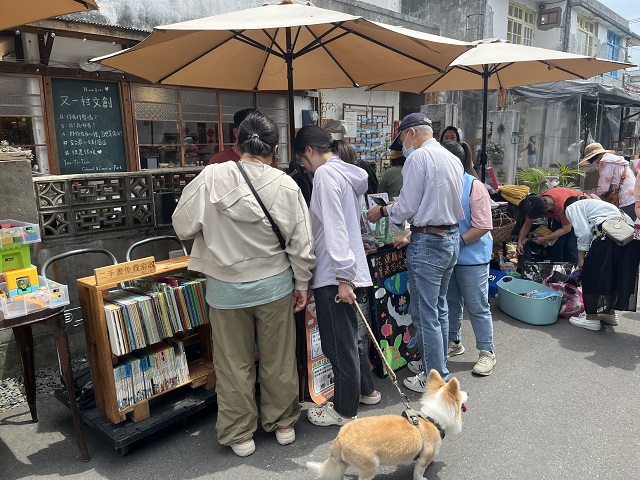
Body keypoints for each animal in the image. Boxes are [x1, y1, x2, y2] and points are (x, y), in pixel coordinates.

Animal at [304, 372, 464, 480]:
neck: (431, 418)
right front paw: (422, 477)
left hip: (340, 465)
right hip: (370, 467)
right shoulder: (423, 458)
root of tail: (339, 440)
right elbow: (419, 472)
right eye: (462, 394)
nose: (467, 392)